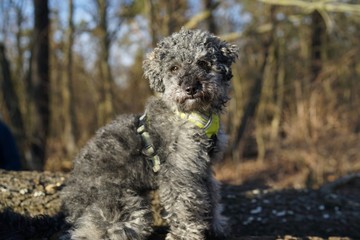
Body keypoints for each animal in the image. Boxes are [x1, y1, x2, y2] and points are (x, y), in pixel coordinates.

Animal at [60, 27, 238, 239]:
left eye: (203, 63)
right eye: (174, 68)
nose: (191, 88)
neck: (193, 116)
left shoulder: (203, 169)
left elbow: (211, 196)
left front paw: (216, 225)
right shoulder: (179, 173)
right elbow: (184, 207)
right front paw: (185, 234)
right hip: (124, 210)